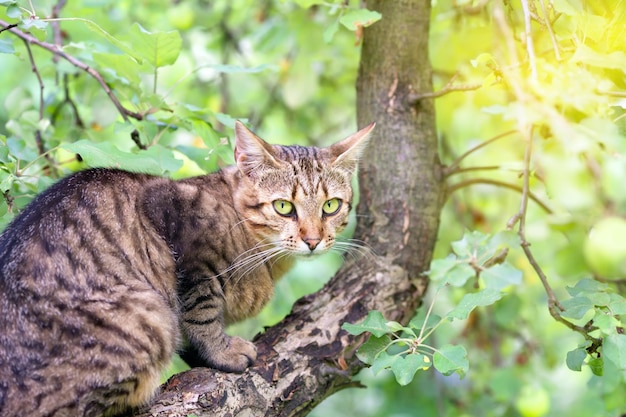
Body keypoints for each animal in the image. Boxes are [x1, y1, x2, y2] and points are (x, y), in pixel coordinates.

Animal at [0, 118, 372, 414]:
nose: (313, 239)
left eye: (331, 206)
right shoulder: (177, 227)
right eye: (283, 207)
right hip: (151, 318)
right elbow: (201, 311)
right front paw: (222, 351)